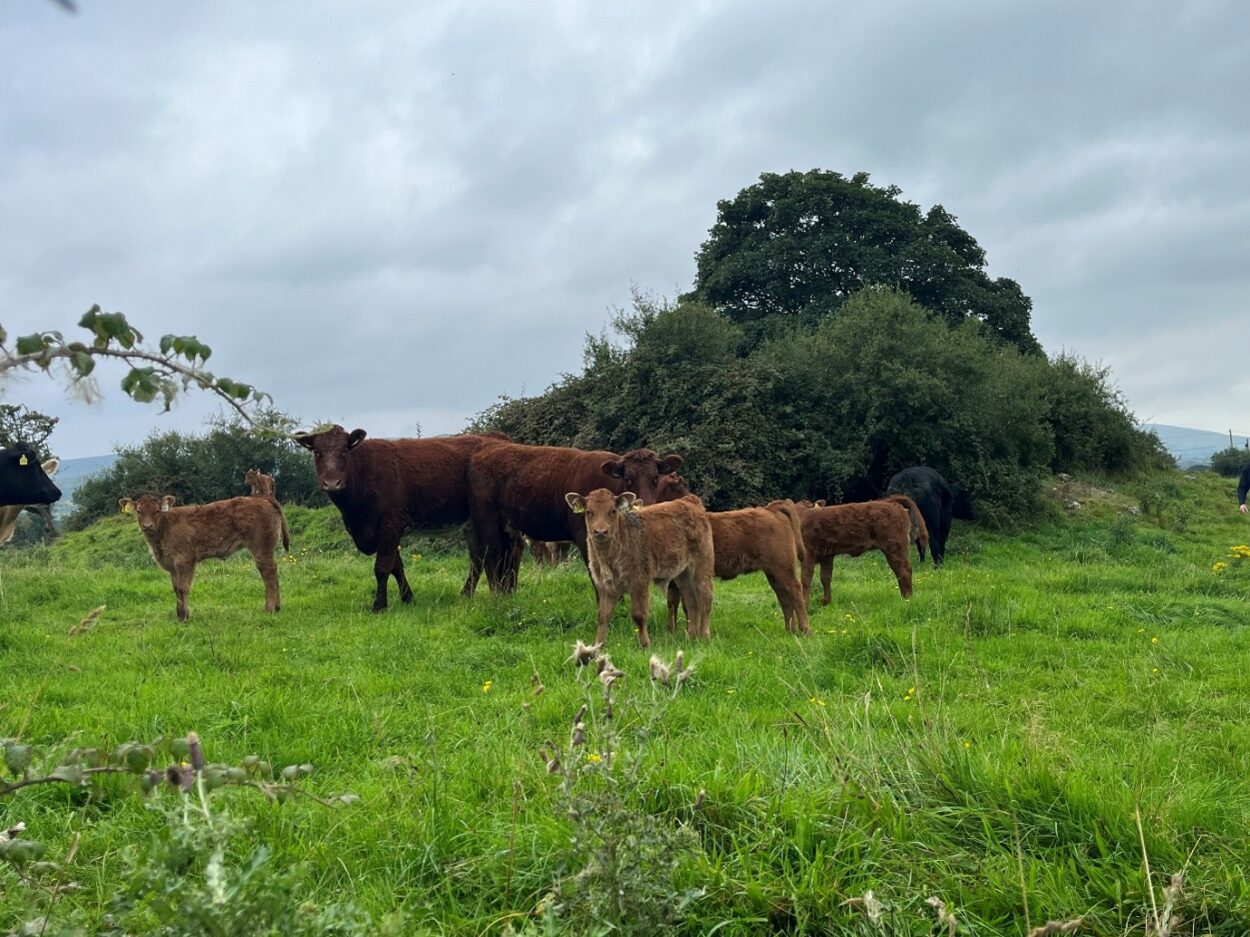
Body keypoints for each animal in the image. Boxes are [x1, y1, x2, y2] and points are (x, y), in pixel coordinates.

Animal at [120, 494, 288, 621]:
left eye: (156, 511)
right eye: (139, 511)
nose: (147, 526)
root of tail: (262, 498)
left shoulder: (185, 560)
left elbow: (183, 587)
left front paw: (184, 617)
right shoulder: (172, 566)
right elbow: (176, 588)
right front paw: (180, 614)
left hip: (261, 546)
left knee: (268, 573)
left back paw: (269, 609)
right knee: (274, 570)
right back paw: (277, 607)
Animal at [294, 425, 507, 611]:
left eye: (344, 451)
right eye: (317, 452)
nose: (331, 482)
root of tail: (496, 436)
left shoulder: (390, 524)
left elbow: (382, 567)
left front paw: (379, 606)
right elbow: (396, 566)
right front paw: (408, 597)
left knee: (484, 556)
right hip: (470, 524)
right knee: (478, 558)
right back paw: (465, 594)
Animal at [466, 442, 683, 594]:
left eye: (655, 478)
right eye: (628, 479)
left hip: (508, 529)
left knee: (506, 559)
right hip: (488, 522)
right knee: (490, 557)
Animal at [565, 488, 714, 647]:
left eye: (612, 511)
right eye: (588, 511)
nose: (600, 531)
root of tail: (690, 501)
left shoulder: (639, 581)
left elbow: (639, 614)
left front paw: (645, 644)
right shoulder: (604, 585)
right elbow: (603, 615)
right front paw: (598, 645)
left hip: (702, 568)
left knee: (705, 599)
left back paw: (704, 637)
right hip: (683, 574)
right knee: (692, 602)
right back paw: (691, 638)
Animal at [655, 475, 809, 635]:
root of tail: (770, 509)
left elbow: (684, 605)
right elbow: (675, 603)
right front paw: (674, 630)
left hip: (784, 567)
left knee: (795, 592)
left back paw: (805, 629)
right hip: (774, 571)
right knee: (784, 597)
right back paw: (790, 630)